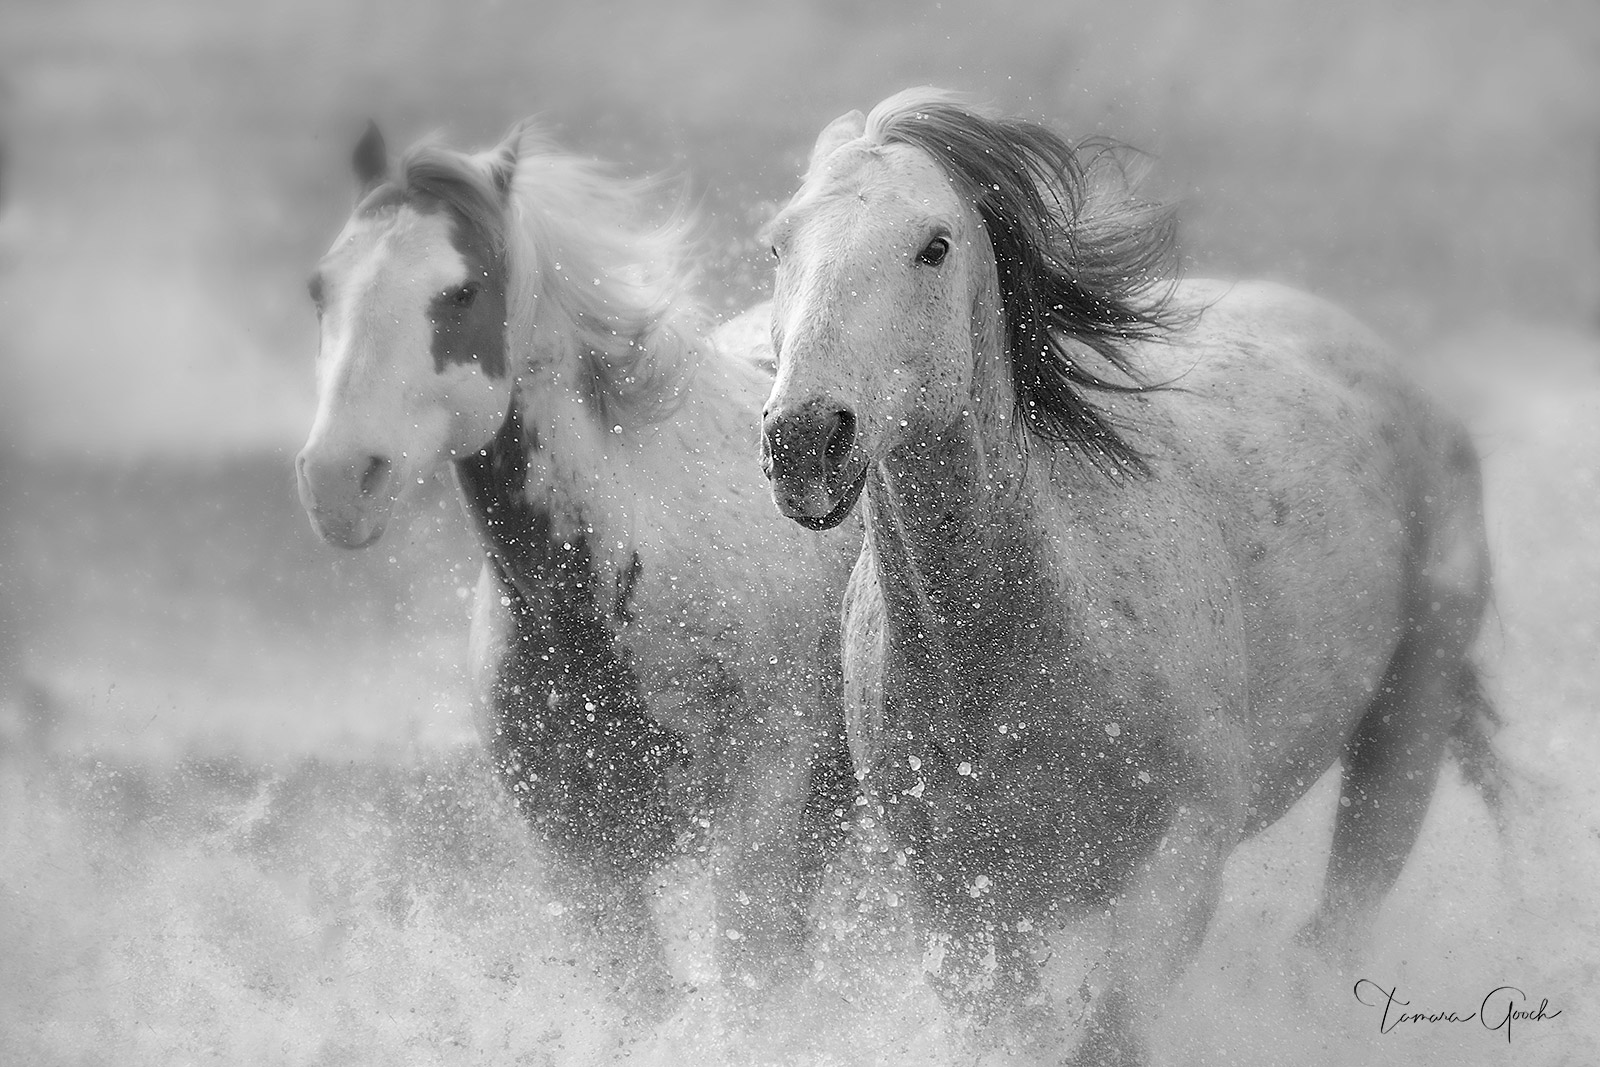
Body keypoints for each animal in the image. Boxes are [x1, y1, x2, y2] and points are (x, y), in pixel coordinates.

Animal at [755, 89, 1504, 1062]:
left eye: (934, 244)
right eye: (778, 245)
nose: (806, 438)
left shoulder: (1178, 861)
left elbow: (1105, 1030)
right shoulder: (959, 905)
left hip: (1407, 725)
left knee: (1331, 936)